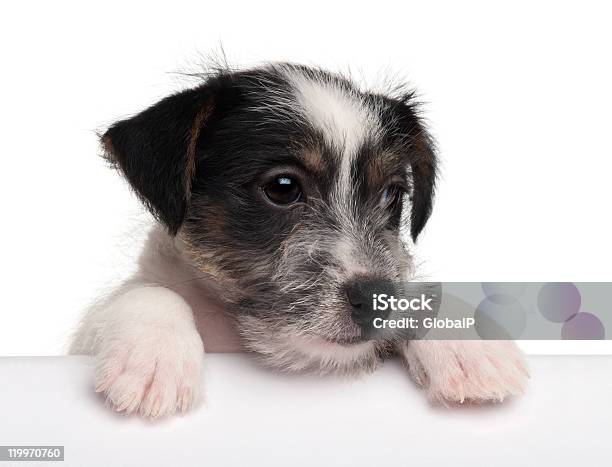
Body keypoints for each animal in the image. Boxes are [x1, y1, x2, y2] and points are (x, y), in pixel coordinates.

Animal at [69, 62, 528, 416]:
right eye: (283, 187)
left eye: (391, 194)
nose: (378, 298)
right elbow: (149, 293)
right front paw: (152, 359)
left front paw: (469, 346)